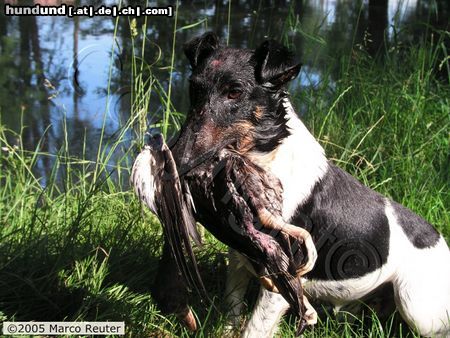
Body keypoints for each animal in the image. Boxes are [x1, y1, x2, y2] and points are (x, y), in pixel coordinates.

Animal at [171, 32, 448, 338]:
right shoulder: (240, 258)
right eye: (194, 88)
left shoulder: (282, 277)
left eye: (235, 93)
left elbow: (255, 328)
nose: (176, 159)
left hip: (417, 307)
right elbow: (232, 308)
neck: (266, 157)